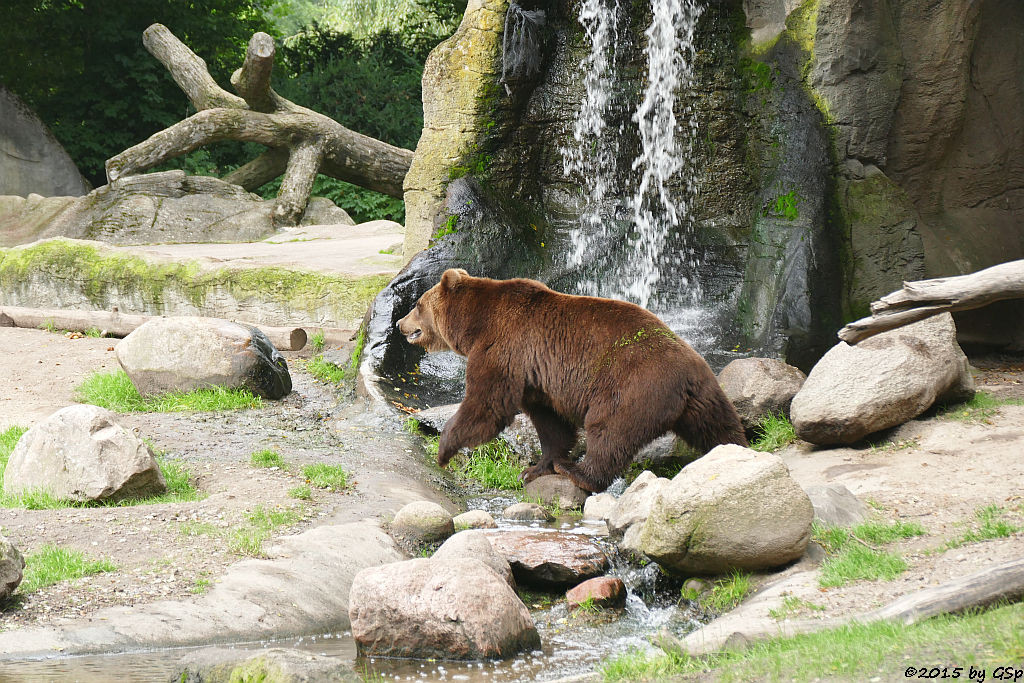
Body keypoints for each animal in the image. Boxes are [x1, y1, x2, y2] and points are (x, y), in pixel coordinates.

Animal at [397, 270, 745, 493]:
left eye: (417, 305)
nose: (400, 323)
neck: (474, 324)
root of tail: (687, 376)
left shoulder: (505, 347)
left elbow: (487, 403)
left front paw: (443, 449)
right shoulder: (538, 379)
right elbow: (551, 423)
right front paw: (536, 467)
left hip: (632, 385)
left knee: (609, 431)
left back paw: (580, 472)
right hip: (704, 396)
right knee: (718, 427)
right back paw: (736, 452)